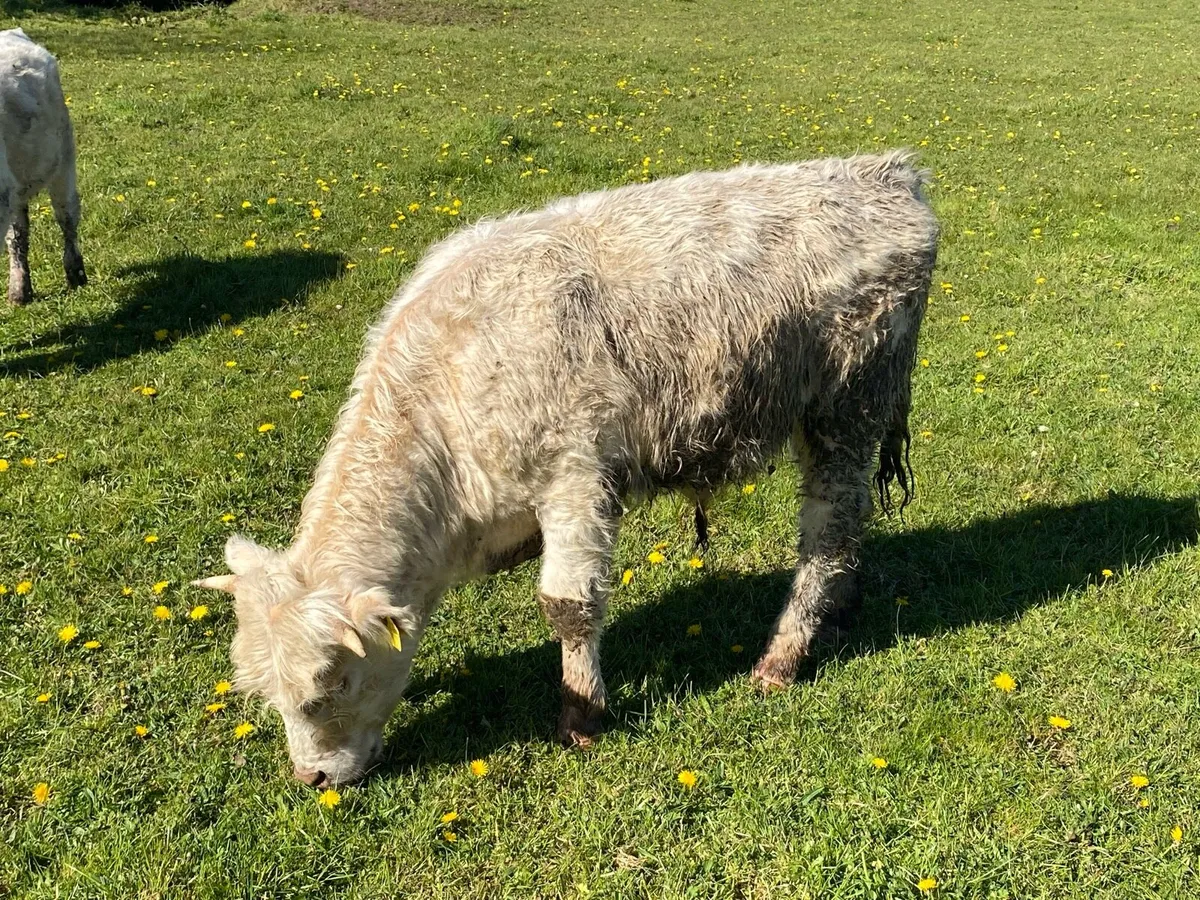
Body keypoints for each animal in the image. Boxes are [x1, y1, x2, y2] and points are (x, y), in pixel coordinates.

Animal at [195, 150, 939, 787]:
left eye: (330, 687)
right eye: (269, 693)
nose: (312, 779)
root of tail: (890, 174)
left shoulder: (576, 478)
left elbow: (569, 606)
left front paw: (582, 713)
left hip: (847, 407)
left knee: (830, 529)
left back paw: (783, 657)